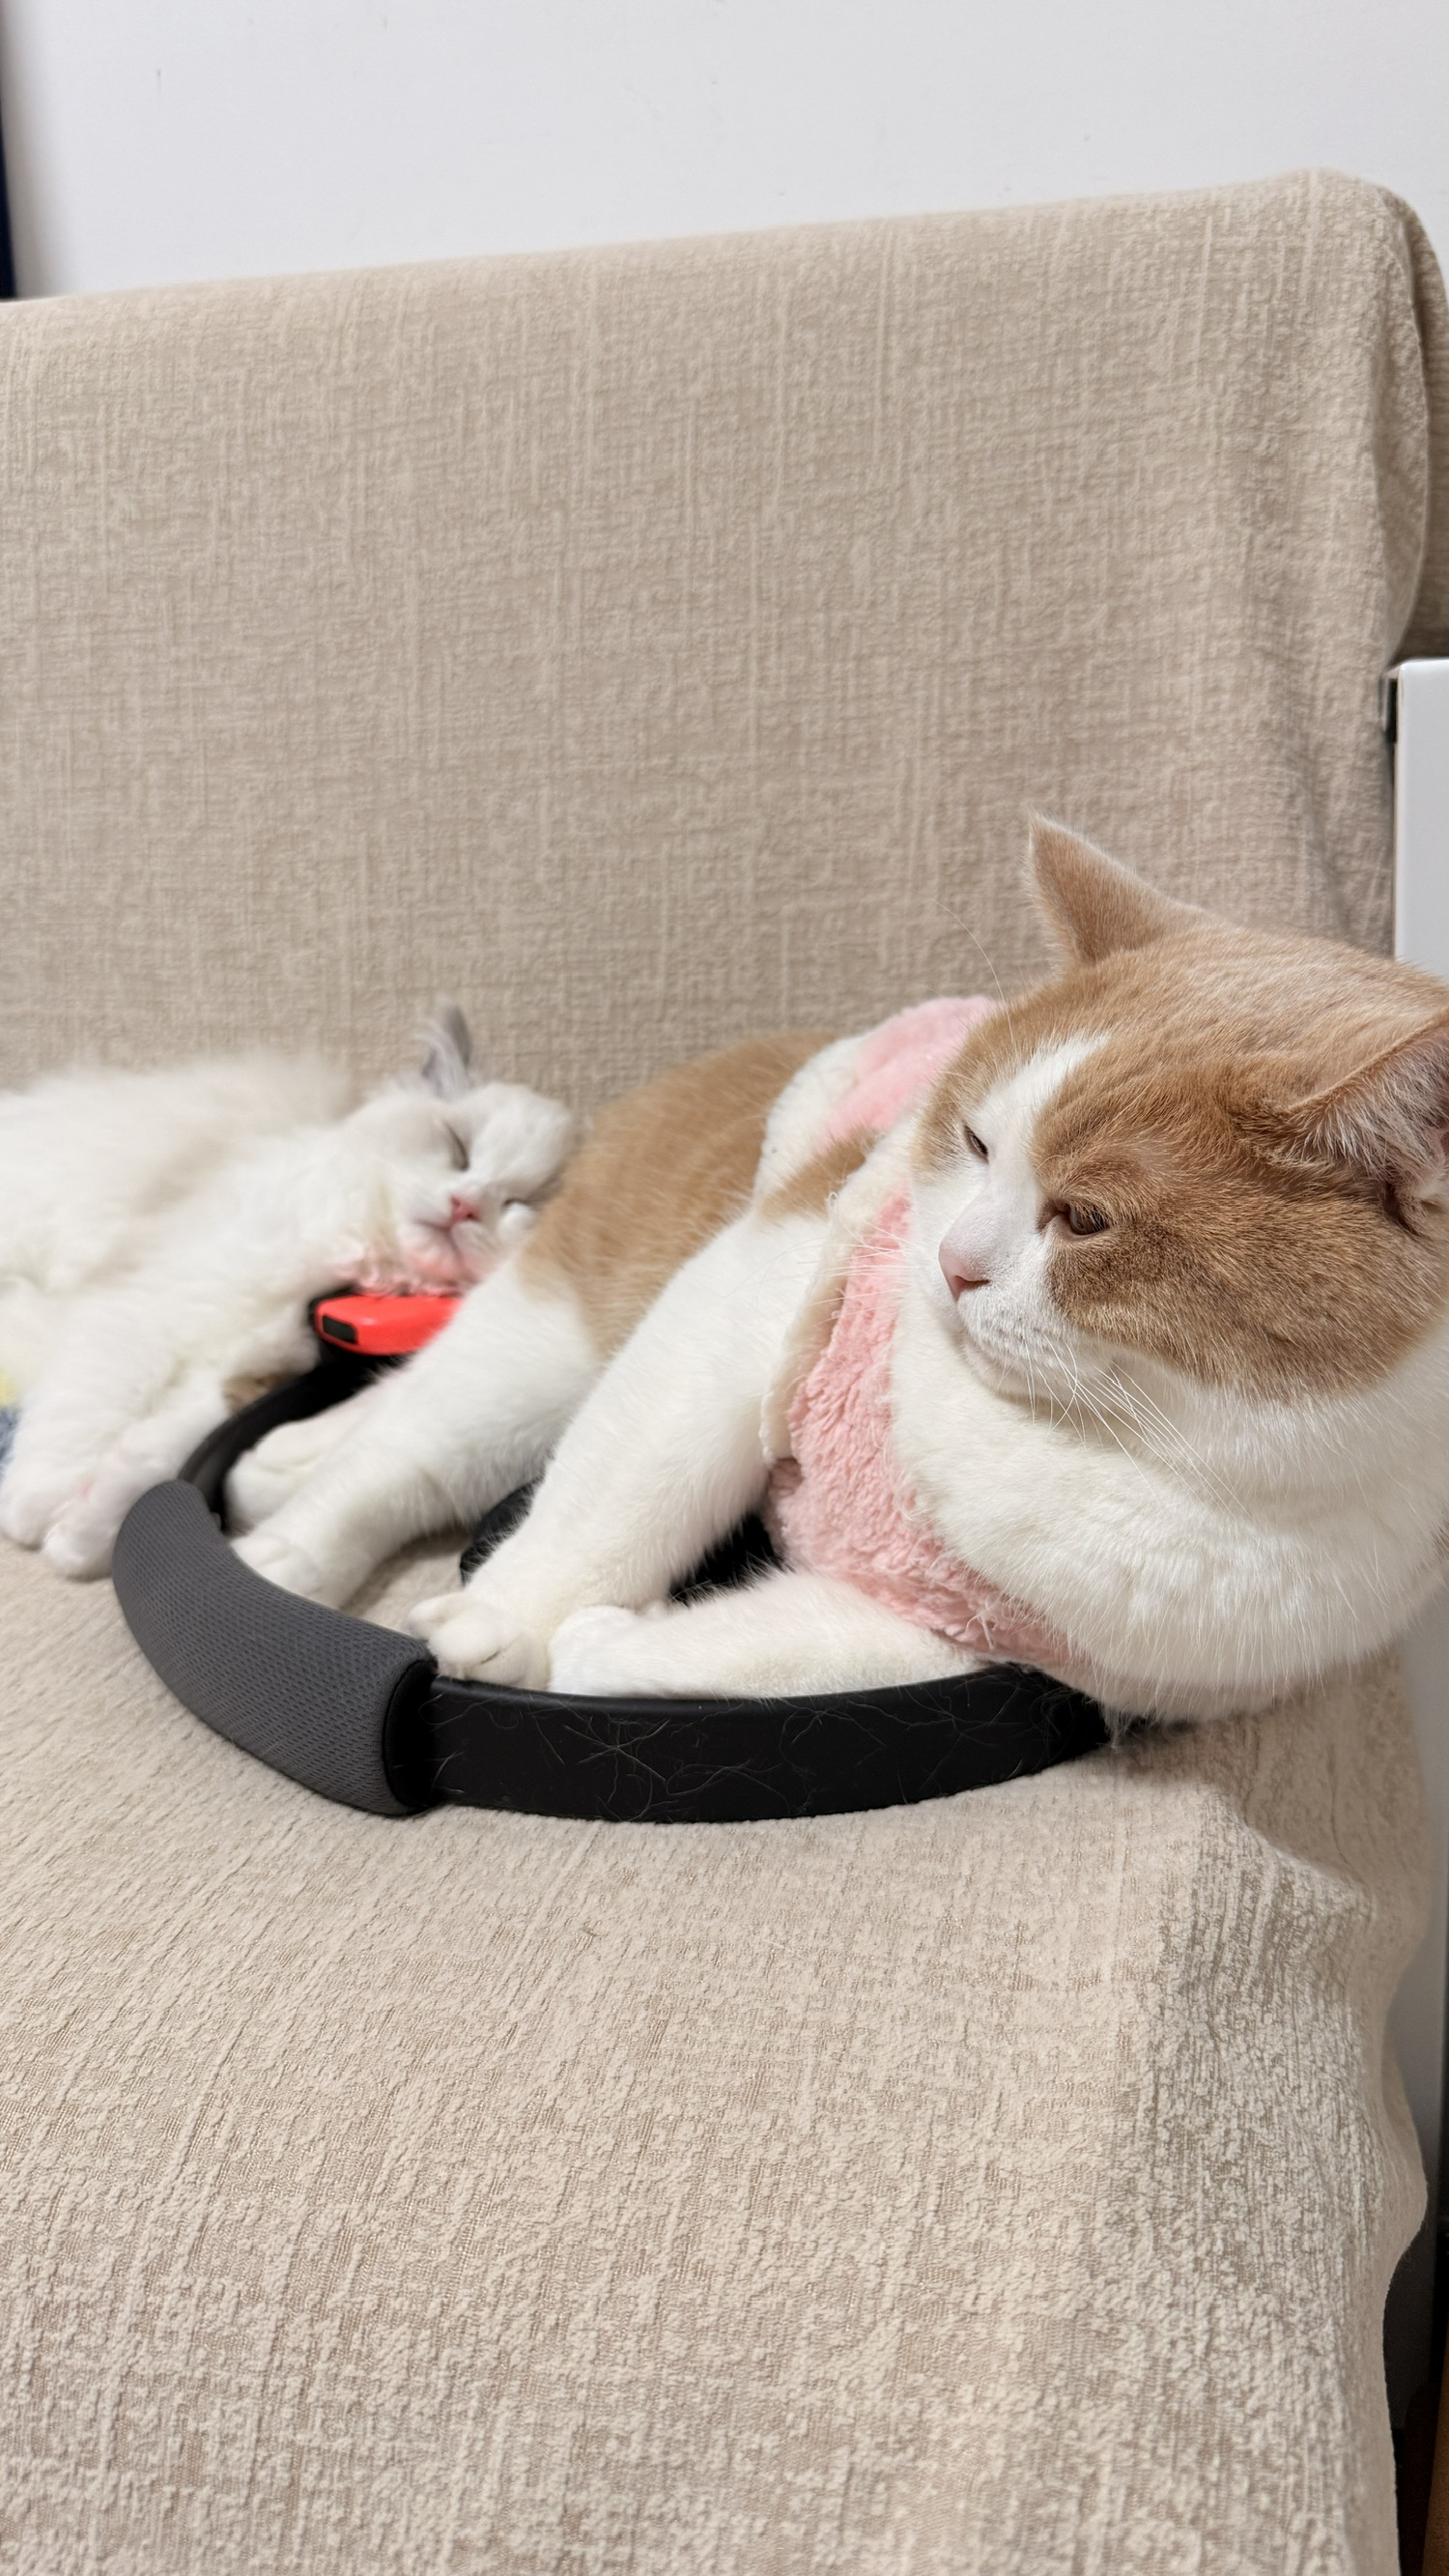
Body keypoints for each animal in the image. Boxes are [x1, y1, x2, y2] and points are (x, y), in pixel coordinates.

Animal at [0, 1009, 576, 1580]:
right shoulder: (150, 1307)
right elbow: (86, 1419)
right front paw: (37, 1511)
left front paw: (80, 1535)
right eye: (459, 1148)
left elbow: (156, 1453)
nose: (464, 1206)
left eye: (522, 1204)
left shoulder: (263, 1370)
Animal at [229, 825, 1449, 1722]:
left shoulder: (979, 1640)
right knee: (408, 1446)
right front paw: (518, 1614)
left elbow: (757, 1654)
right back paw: (288, 1533)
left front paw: (608, 1640)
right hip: (551, 1337)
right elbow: (622, 1490)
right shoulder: (748, 1303)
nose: (952, 1261)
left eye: (1085, 1219)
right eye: (976, 1143)